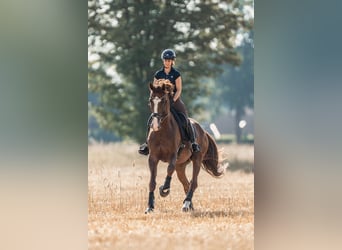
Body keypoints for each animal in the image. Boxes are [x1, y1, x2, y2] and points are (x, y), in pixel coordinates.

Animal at [144, 80, 224, 213]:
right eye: (150, 100)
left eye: (164, 100)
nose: (155, 125)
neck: (162, 131)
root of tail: (203, 131)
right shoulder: (153, 157)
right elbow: (151, 182)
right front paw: (150, 206)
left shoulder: (173, 155)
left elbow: (169, 169)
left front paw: (164, 189)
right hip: (181, 166)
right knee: (186, 183)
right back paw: (189, 205)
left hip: (197, 159)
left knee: (193, 182)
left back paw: (186, 204)